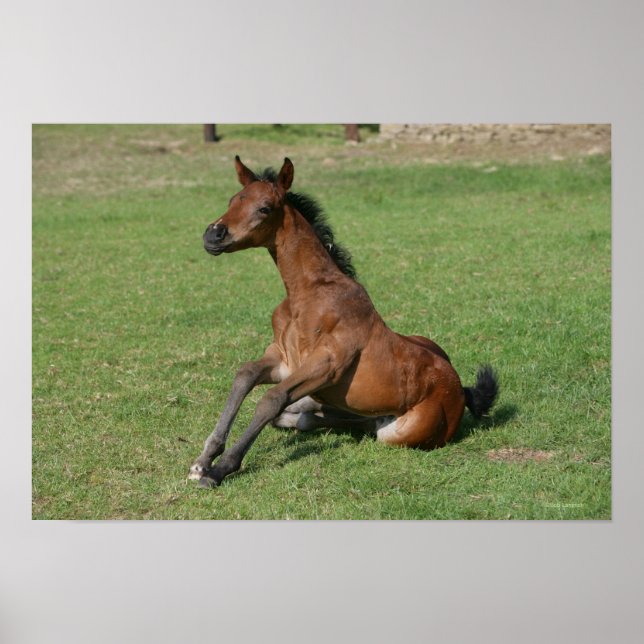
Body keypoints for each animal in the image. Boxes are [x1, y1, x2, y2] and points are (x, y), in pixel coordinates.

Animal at [189, 156, 498, 487]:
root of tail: (459, 388)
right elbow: (244, 375)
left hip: (395, 433)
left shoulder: (326, 365)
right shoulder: (283, 360)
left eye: (264, 208)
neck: (306, 295)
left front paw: (220, 469)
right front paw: (203, 460)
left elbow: (272, 398)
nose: (213, 235)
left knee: (353, 423)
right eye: (233, 200)